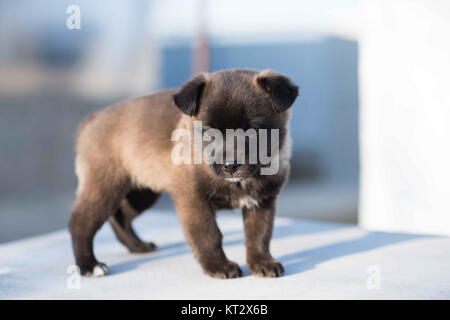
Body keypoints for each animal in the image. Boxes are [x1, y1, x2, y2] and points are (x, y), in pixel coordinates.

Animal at [69, 68, 298, 278]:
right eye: (209, 132)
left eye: (254, 130)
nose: (229, 165)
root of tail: (91, 120)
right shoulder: (193, 200)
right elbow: (209, 235)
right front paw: (218, 266)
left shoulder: (262, 201)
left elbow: (259, 235)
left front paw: (261, 263)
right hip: (104, 187)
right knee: (80, 222)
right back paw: (89, 265)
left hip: (142, 192)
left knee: (120, 217)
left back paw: (137, 246)